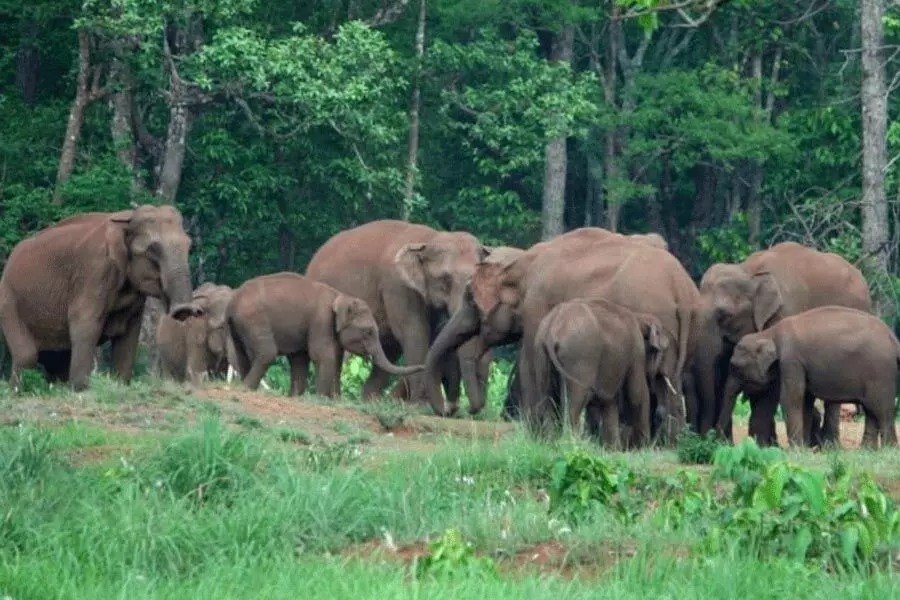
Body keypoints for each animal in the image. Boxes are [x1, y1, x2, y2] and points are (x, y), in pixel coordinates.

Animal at [0, 205, 202, 394]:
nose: (185, 310)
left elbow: (129, 334)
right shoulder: (94, 271)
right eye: (153, 250)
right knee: (27, 356)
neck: (127, 218)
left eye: (189, 245)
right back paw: (18, 391)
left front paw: (120, 384)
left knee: (56, 360)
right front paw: (81, 390)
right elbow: (85, 324)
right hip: (8, 299)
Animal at [225, 274, 422, 396]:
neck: (341, 296)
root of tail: (233, 301)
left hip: (238, 327)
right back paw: (246, 388)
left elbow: (304, 358)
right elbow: (322, 356)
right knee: (267, 353)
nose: (423, 366)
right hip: (254, 319)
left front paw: (327, 398)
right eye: (368, 332)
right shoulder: (321, 321)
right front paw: (320, 398)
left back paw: (243, 385)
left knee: (241, 355)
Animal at [308, 218, 492, 414]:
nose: (456, 409)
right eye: (445, 279)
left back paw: (371, 401)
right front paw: (420, 405)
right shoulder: (398, 286)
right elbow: (415, 333)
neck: (430, 239)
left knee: (390, 350)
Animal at [532, 298, 672, 448]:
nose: (661, 413)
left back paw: (551, 443)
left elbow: (608, 401)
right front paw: (642, 448)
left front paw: (613, 449)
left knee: (547, 398)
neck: (639, 317)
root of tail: (551, 328)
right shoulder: (636, 351)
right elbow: (637, 393)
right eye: (662, 350)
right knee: (575, 402)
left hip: (540, 352)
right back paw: (572, 443)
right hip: (579, 358)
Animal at [716, 308, 900, 448]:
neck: (769, 333)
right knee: (872, 412)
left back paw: (888, 449)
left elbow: (791, 399)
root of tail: (894, 339)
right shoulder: (800, 366)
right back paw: (868, 450)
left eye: (735, 367)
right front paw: (803, 448)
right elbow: (805, 401)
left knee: (882, 411)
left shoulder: (791, 361)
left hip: (881, 374)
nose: (718, 442)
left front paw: (795, 450)